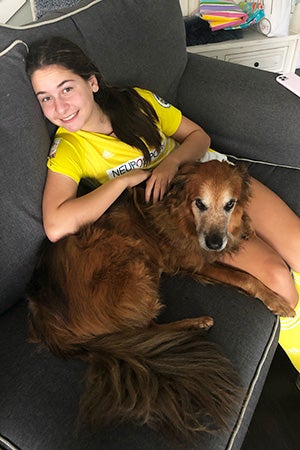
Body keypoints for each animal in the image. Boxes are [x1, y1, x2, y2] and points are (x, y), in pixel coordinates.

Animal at [27, 161, 294, 440]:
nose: (214, 243)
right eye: (200, 203)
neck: (181, 213)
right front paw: (276, 300)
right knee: (148, 329)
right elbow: (245, 278)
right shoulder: (198, 262)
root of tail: (44, 317)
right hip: (133, 260)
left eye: (230, 204)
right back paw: (195, 323)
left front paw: (246, 226)